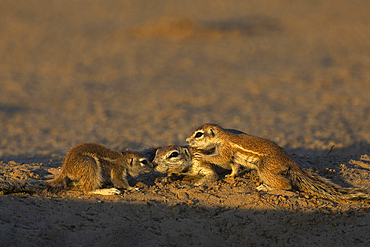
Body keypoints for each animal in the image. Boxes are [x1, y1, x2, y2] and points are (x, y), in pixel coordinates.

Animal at [0, 143, 152, 195]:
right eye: (144, 162)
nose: (152, 166)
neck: (123, 159)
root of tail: (65, 170)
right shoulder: (118, 169)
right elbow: (119, 181)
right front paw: (132, 187)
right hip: (90, 164)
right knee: (88, 189)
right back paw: (107, 191)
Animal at [186, 123, 370, 201]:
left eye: (199, 134)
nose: (187, 141)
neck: (222, 137)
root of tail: (288, 160)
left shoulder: (225, 150)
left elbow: (220, 158)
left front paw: (201, 156)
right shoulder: (232, 156)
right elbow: (234, 166)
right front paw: (232, 176)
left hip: (265, 168)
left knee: (287, 185)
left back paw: (266, 187)